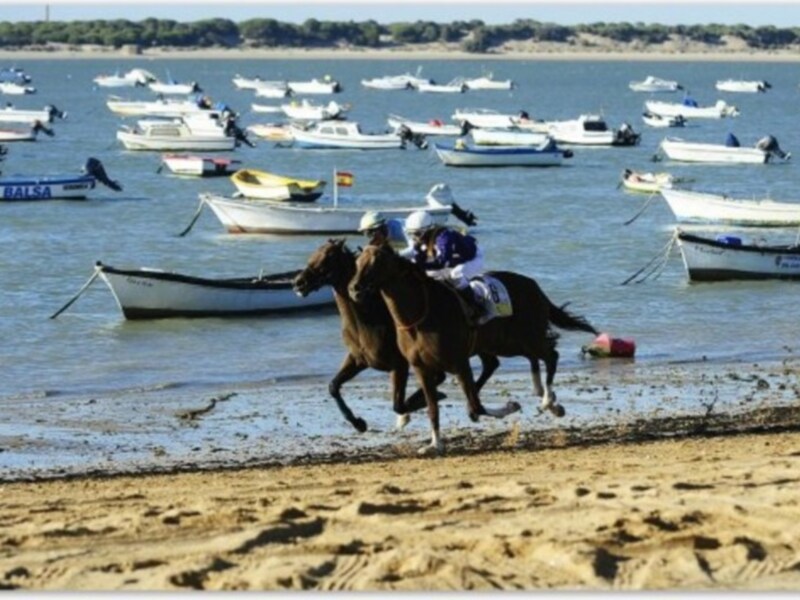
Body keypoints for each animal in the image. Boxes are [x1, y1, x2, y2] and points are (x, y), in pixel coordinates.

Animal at [292, 239, 446, 432]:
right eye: (314, 254)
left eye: (328, 257)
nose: (299, 283)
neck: (366, 321)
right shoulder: (358, 359)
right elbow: (333, 386)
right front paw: (358, 423)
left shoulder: (399, 365)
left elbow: (399, 404)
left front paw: (422, 404)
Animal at [348, 243, 598, 455]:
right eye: (358, 262)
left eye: (377, 262)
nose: (354, 289)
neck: (420, 316)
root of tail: (534, 287)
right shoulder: (421, 368)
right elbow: (433, 409)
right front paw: (435, 444)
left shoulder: (459, 362)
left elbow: (477, 405)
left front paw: (511, 405)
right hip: (503, 342)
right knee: (509, 361)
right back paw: (547, 397)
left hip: (524, 338)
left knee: (551, 355)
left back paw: (547, 401)